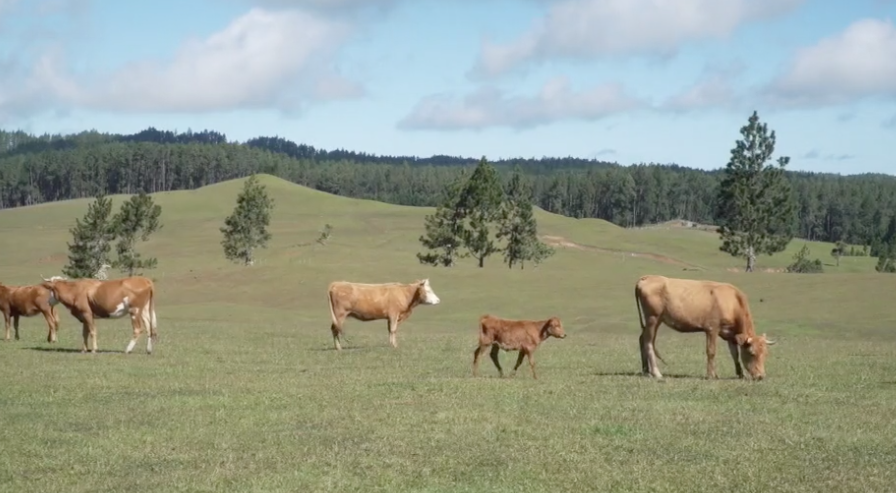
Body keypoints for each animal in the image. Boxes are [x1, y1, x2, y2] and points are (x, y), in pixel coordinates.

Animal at [632, 274, 772, 378]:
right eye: (752, 353)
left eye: (765, 354)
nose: (761, 376)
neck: (732, 302)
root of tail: (647, 277)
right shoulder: (712, 329)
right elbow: (711, 351)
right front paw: (711, 375)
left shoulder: (731, 335)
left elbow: (735, 354)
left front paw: (740, 374)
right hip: (653, 318)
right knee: (648, 341)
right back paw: (656, 373)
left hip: (654, 321)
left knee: (642, 339)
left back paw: (646, 370)